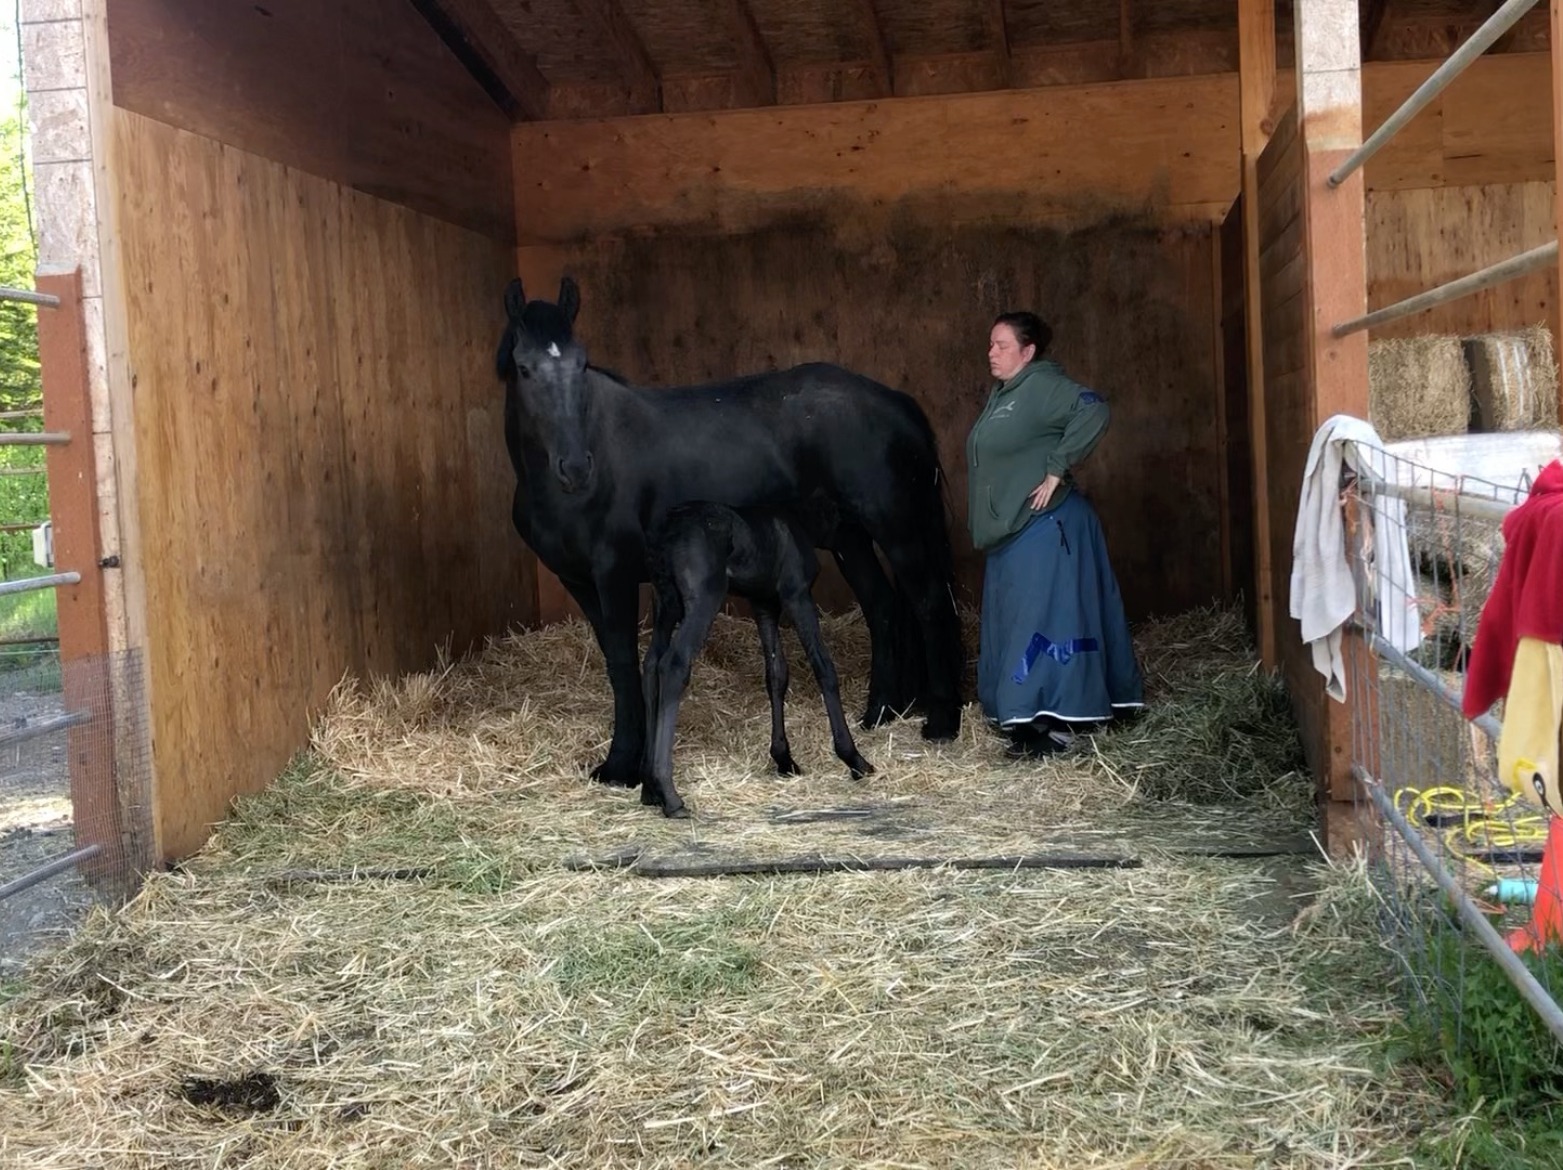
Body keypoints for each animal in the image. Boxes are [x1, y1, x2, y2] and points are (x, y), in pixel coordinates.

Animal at [641, 501, 875, 818]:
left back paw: (649, 788)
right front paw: (854, 758)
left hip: (667, 603)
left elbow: (776, 673)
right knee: (673, 664)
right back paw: (669, 793)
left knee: (651, 665)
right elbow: (823, 667)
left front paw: (784, 758)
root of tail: (669, 530)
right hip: (703, 599)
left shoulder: (764, 603)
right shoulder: (796, 594)